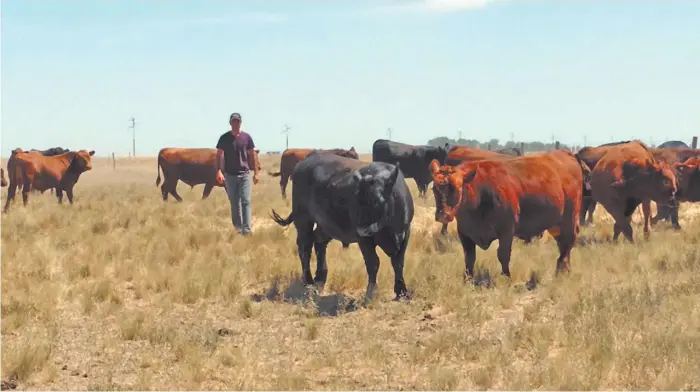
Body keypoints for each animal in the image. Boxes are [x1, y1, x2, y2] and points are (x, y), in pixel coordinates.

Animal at [268, 150, 412, 304]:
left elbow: (398, 262)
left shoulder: (405, 233)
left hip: (326, 226)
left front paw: (402, 292)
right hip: (303, 220)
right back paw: (309, 281)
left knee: (319, 243)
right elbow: (373, 263)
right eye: (356, 200)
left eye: (377, 201)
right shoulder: (364, 240)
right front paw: (370, 294)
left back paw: (320, 277)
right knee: (304, 248)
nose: (361, 228)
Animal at [426, 148, 584, 278]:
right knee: (563, 244)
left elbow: (503, 255)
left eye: (457, 188)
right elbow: (469, 257)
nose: (443, 215)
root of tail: (565, 154)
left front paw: (506, 277)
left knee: (567, 244)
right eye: (434, 189)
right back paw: (565, 269)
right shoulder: (464, 233)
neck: (480, 192)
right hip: (556, 225)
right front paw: (467, 278)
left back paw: (561, 270)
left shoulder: (507, 230)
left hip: (570, 220)